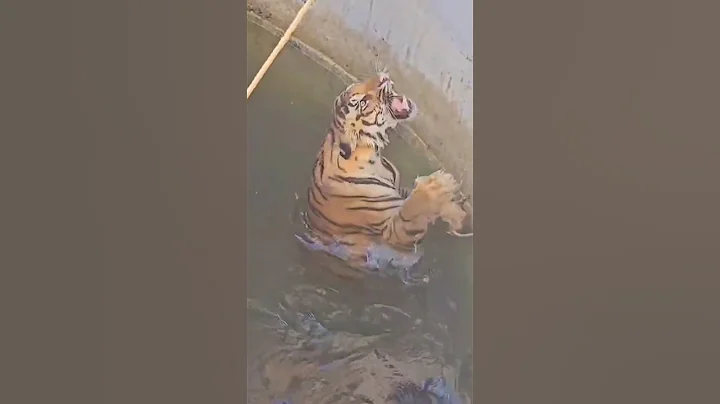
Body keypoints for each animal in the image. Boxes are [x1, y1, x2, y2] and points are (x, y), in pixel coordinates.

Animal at [296, 70, 471, 277]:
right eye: (363, 102)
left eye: (360, 84)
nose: (382, 78)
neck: (372, 156)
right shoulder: (391, 235)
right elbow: (411, 212)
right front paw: (436, 185)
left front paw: (458, 215)